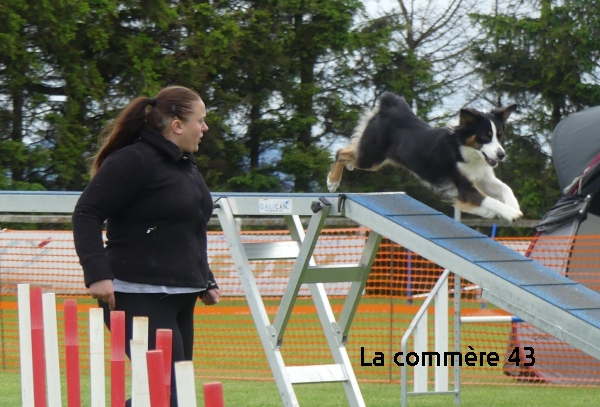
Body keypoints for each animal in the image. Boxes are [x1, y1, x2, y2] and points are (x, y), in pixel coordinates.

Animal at [326, 92, 524, 222]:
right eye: (485, 136)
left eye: (499, 135)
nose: (501, 154)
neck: (466, 150)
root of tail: (390, 105)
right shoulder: (465, 187)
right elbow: (488, 200)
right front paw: (511, 213)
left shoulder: (484, 178)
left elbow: (506, 188)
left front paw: (514, 205)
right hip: (371, 158)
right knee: (341, 152)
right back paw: (333, 181)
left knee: (350, 150)